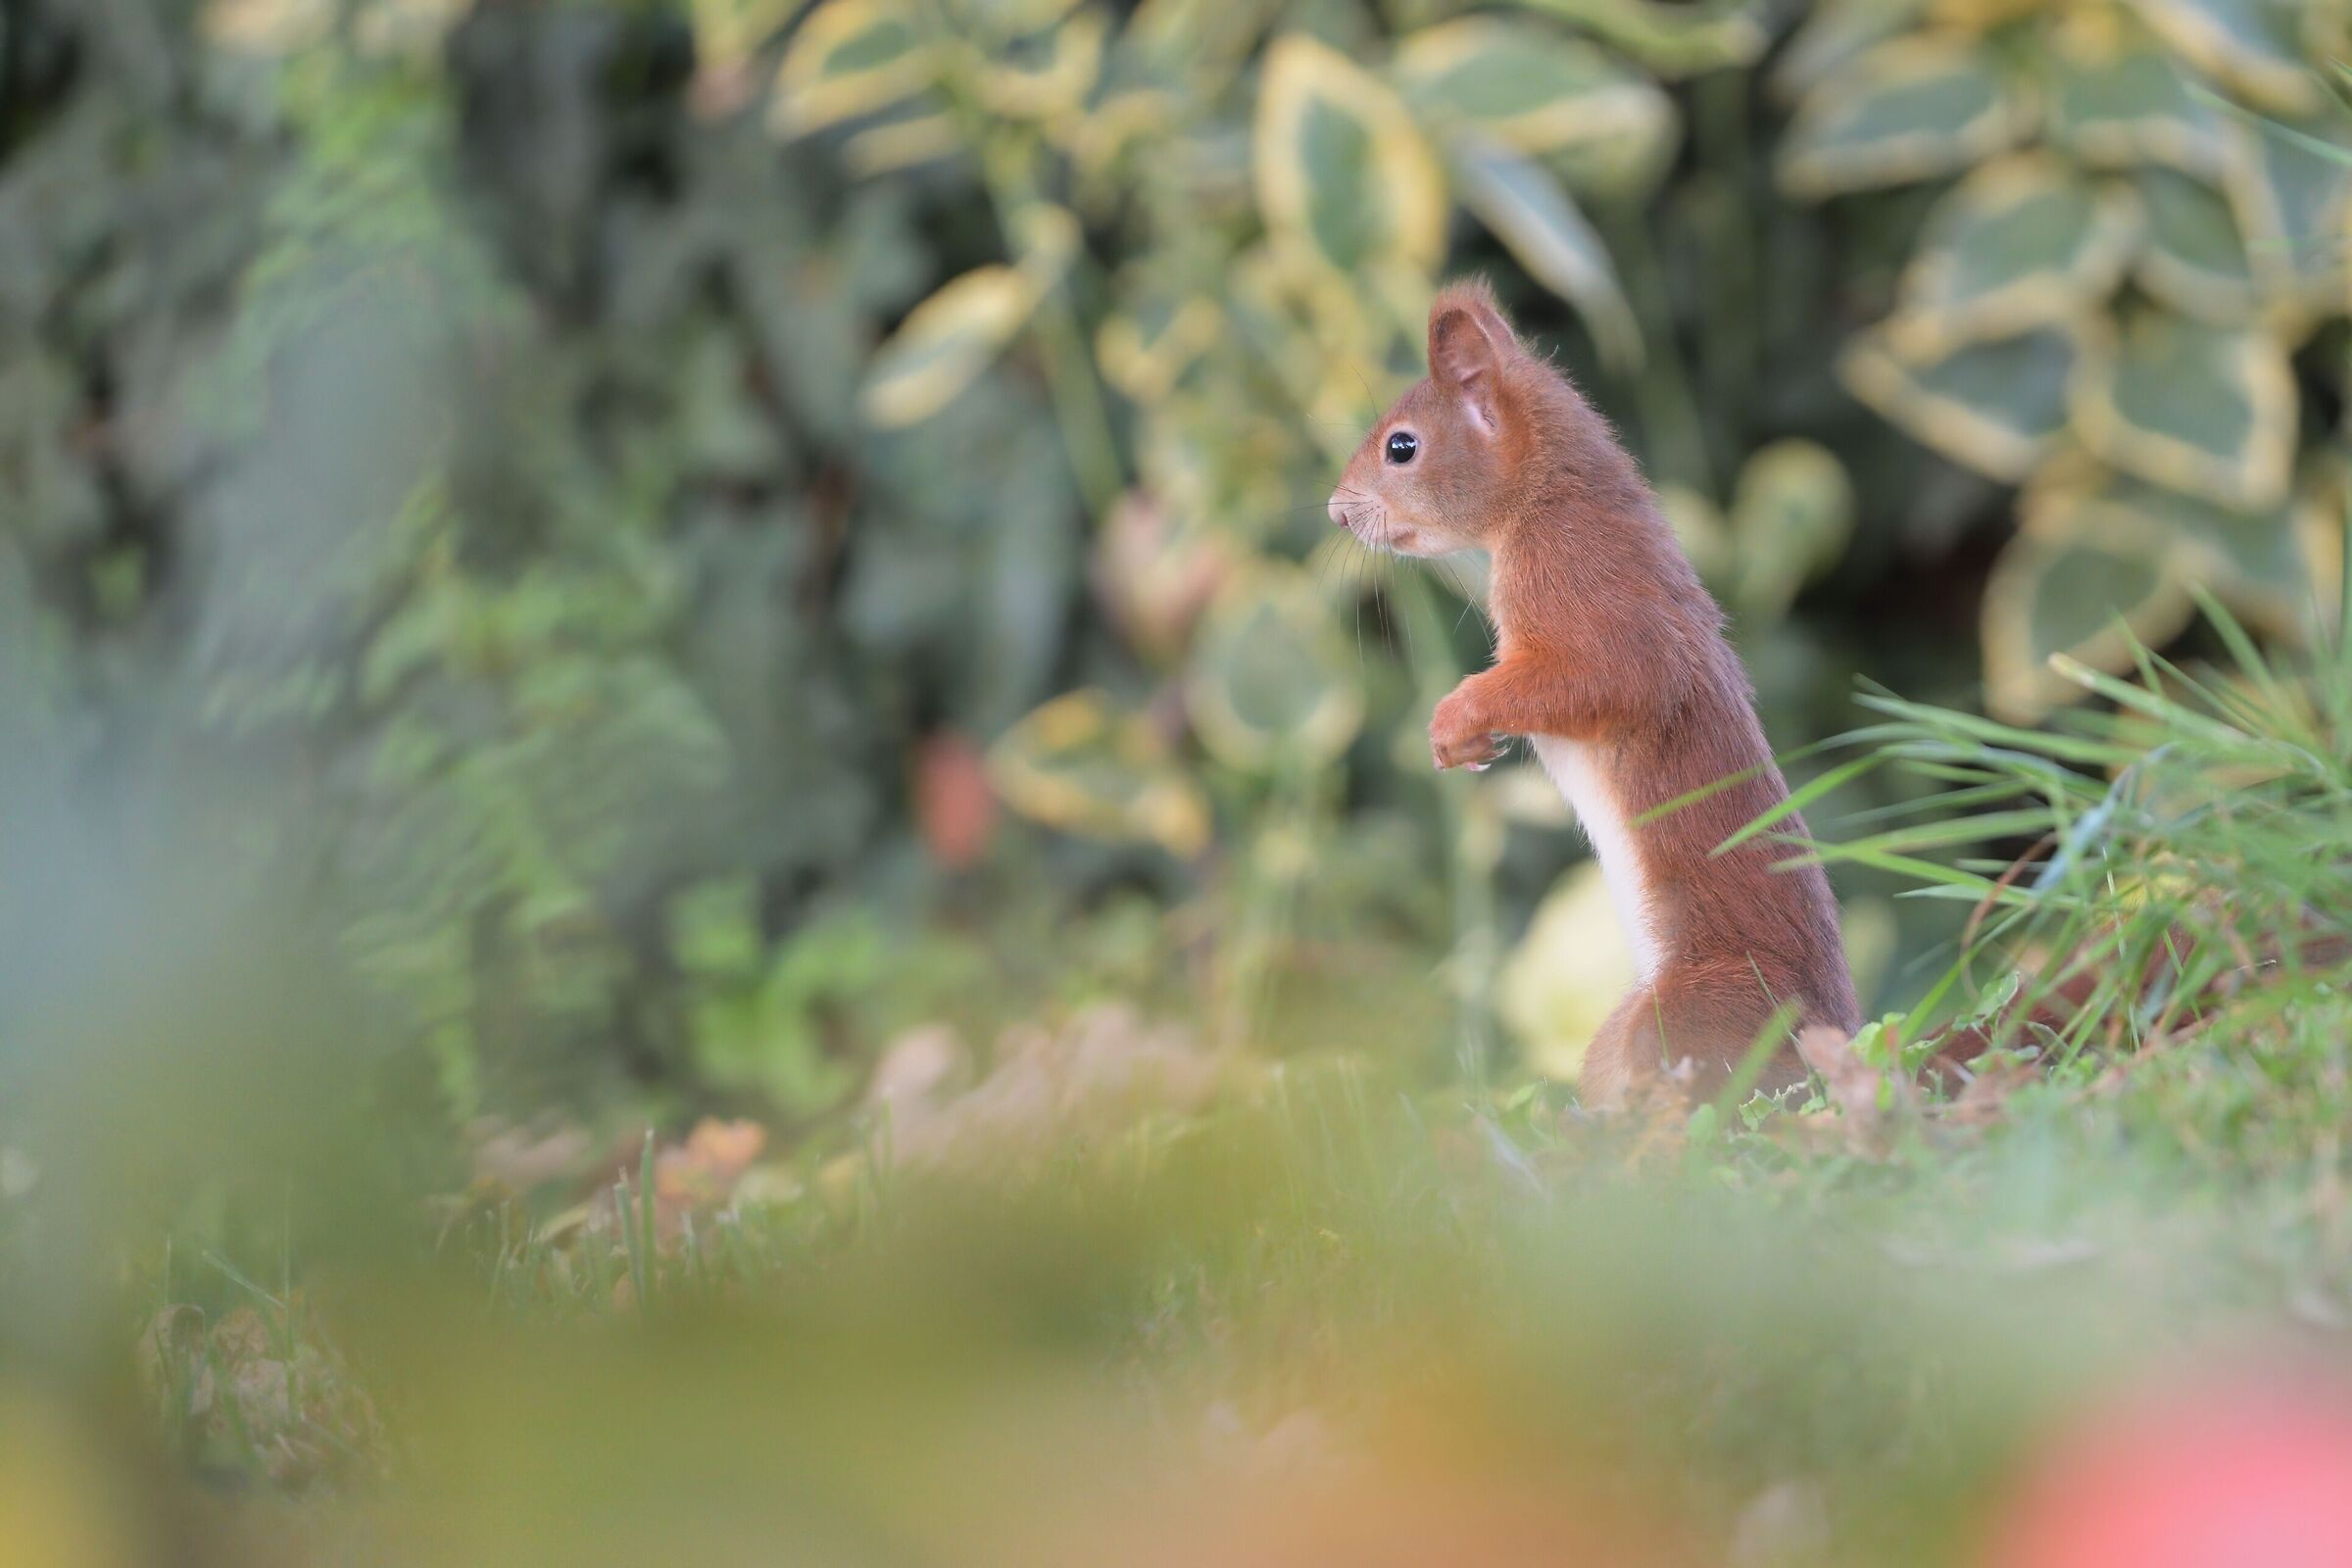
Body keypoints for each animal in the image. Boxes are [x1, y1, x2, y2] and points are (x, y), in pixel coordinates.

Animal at [1328, 280, 1859, 1104]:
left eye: (1402, 447)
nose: (1336, 512)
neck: (1549, 496)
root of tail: (1830, 1045)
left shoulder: (1583, 595)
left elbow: (1600, 680)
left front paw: (1454, 720)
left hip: (1687, 1014)